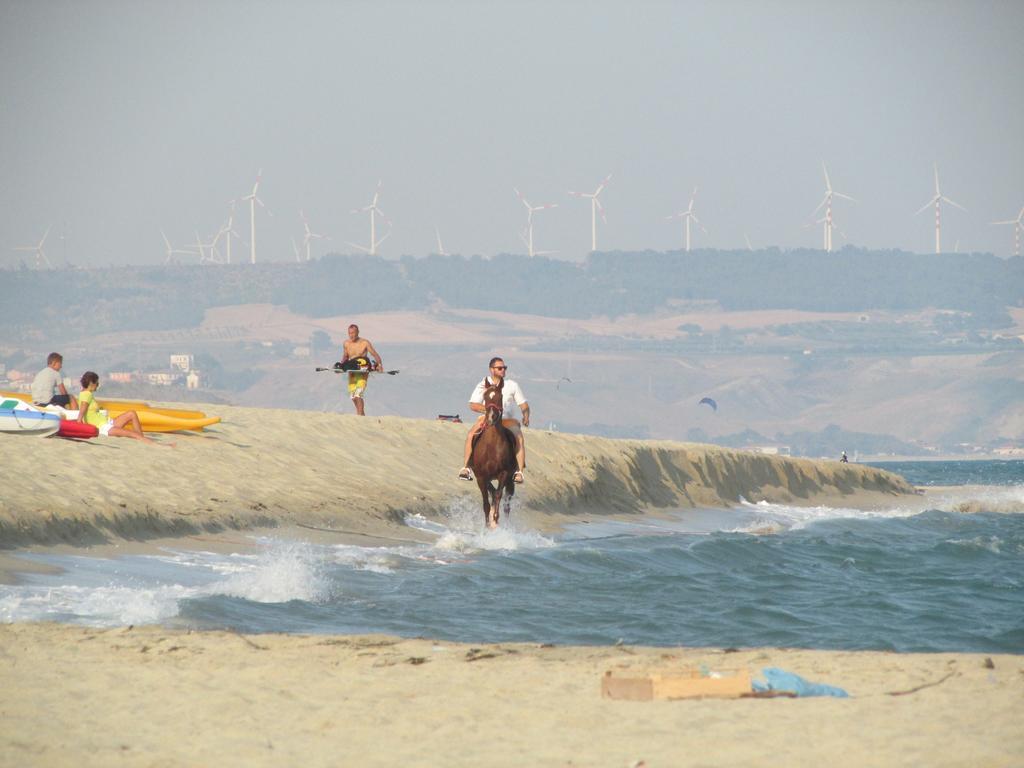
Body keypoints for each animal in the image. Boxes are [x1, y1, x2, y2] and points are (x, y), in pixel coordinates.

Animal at [471, 378, 520, 528]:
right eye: (485, 396)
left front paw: (496, 521)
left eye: (500, 397)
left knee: (506, 504)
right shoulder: (481, 477)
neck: (491, 446)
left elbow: (498, 496)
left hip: (510, 480)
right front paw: (487, 527)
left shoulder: (504, 474)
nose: (491, 418)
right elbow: (486, 503)